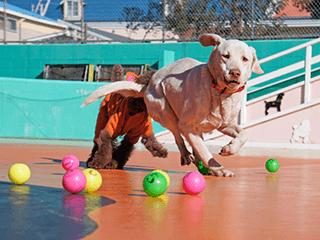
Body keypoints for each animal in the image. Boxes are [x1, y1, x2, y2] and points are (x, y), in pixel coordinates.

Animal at [82, 33, 262, 176]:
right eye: (225, 55)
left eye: (245, 59)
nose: (235, 73)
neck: (219, 93)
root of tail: (147, 84)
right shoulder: (186, 126)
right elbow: (204, 151)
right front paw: (220, 169)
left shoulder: (224, 124)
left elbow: (243, 135)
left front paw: (229, 149)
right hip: (166, 113)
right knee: (178, 137)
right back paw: (186, 155)